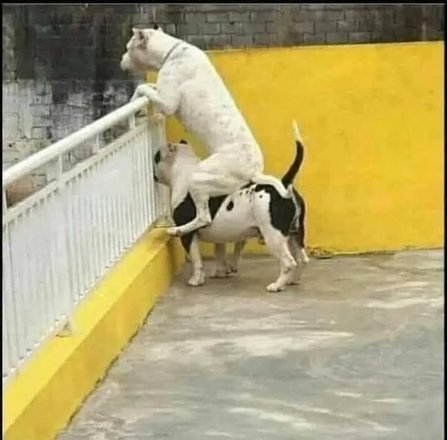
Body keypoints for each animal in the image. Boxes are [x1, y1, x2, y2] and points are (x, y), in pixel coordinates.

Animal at [120, 27, 291, 238]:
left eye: (128, 47)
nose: (121, 59)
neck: (171, 52)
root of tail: (254, 171)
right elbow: (148, 87)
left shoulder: (167, 103)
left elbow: (142, 86)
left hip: (198, 178)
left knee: (204, 217)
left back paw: (178, 229)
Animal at [154, 121, 309, 292]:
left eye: (155, 157)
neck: (184, 171)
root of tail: (285, 183)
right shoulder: (219, 235)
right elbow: (219, 252)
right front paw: (221, 272)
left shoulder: (188, 236)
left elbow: (196, 259)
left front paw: (196, 279)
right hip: (295, 234)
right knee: (302, 258)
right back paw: (292, 280)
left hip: (273, 236)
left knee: (288, 262)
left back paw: (277, 285)